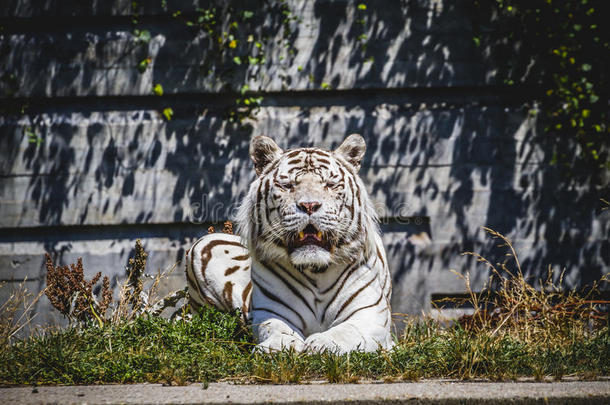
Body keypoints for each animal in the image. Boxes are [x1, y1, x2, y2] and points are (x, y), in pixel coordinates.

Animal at [185, 134, 392, 352]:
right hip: (201, 246)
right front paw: (277, 346)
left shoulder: (370, 315)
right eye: (287, 186)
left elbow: (346, 332)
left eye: (330, 184)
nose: (309, 205)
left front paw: (322, 343)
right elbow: (276, 328)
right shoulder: (272, 312)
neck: (315, 271)